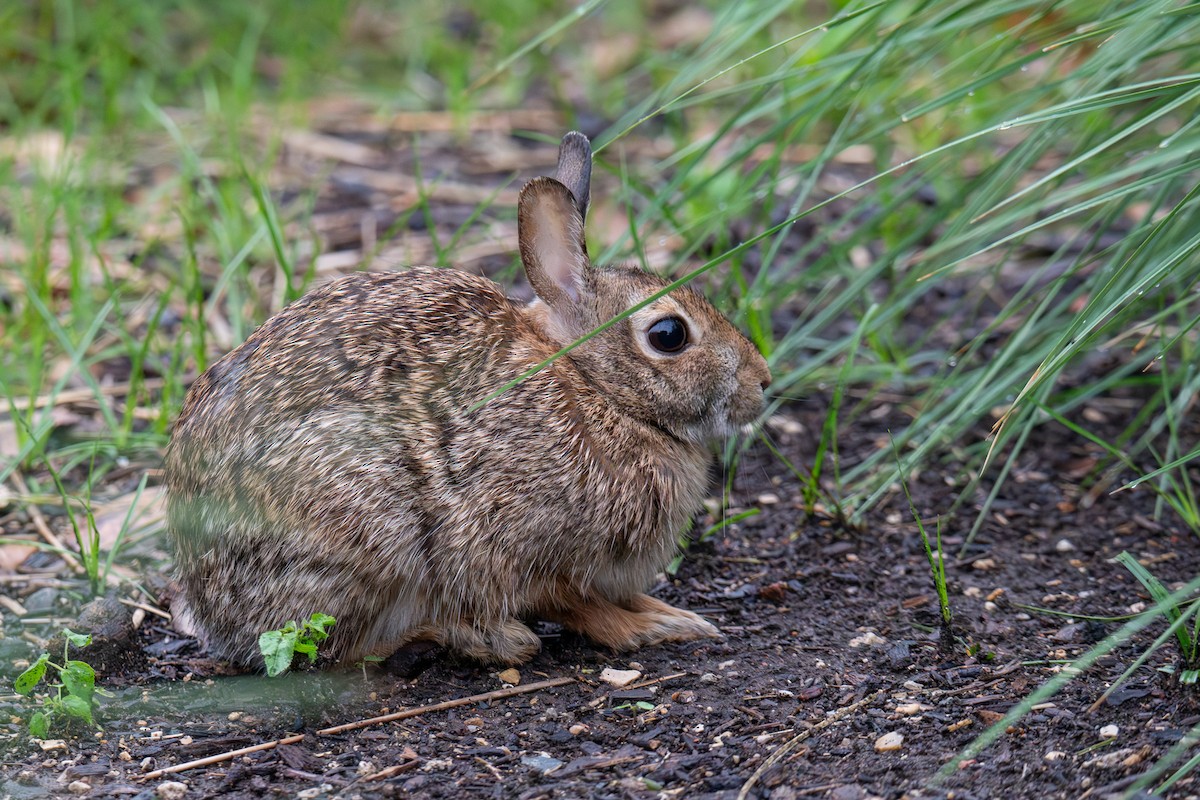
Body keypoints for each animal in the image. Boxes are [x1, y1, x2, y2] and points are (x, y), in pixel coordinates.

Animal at [164, 131, 772, 668]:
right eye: (669, 335)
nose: (762, 380)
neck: (593, 387)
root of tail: (210, 604)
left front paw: (668, 613)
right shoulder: (513, 542)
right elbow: (571, 601)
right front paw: (650, 628)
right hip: (365, 535)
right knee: (340, 648)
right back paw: (475, 640)